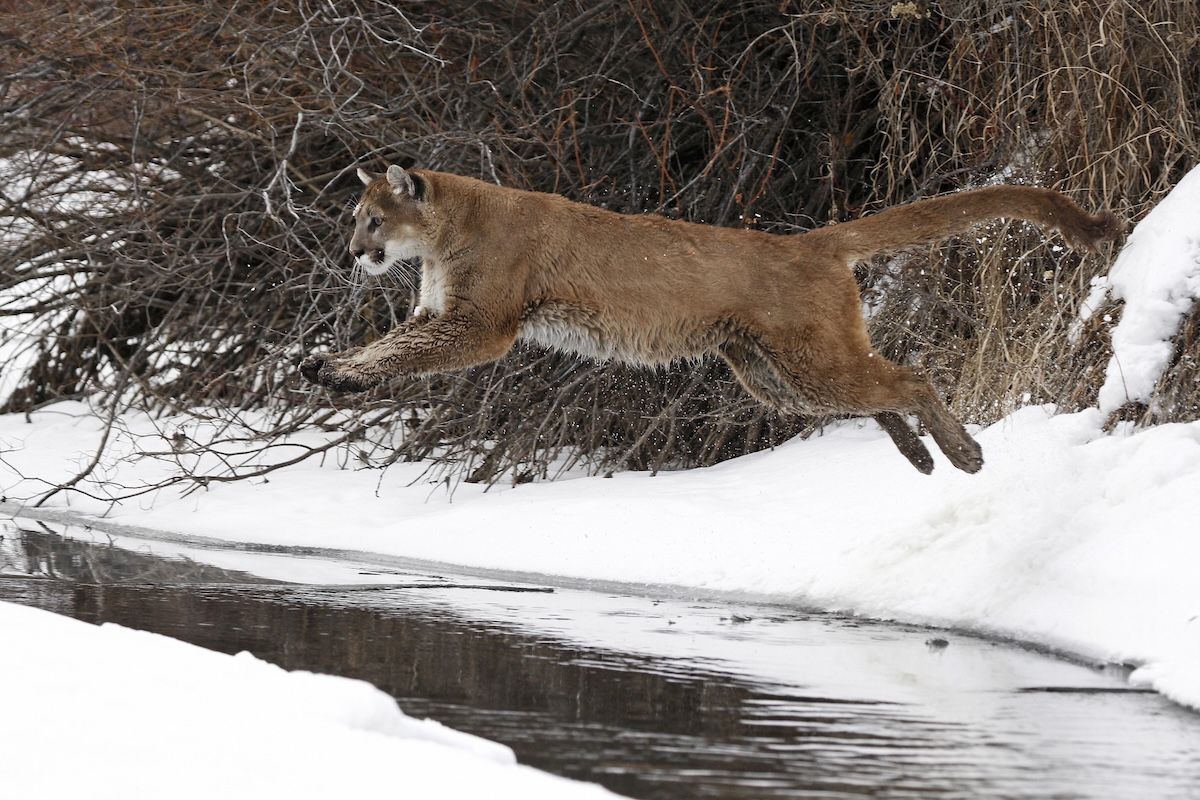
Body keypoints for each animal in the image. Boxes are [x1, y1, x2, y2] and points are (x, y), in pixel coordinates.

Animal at [300, 165, 1120, 474]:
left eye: (373, 220)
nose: (353, 253)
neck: (445, 233)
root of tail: (807, 241)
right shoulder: (440, 313)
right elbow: (391, 343)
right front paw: (327, 369)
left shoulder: (479, 325)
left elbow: (400, 352)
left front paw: (338, 373)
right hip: (774, 374)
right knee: (880, 386)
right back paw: (919, 457)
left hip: (806, 361)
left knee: (909, 375)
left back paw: (962, 454)